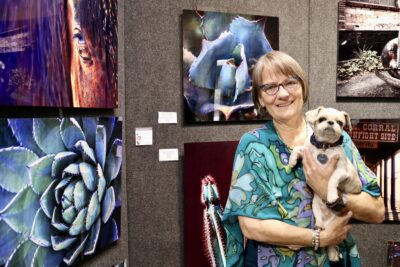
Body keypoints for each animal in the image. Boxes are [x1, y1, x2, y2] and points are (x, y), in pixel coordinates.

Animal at [288, 107, 362, 262]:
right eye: (321, 119)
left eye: (340, 123)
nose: (331, 123)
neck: (324, 147)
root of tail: (327, 224)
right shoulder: (307, 152)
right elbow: (298, 148)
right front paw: (292, 160)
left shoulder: (342, 171)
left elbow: (332, 179)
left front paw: (332, 195)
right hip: (317, 213)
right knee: (317, 231)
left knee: (332, 242)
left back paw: (333, 253)